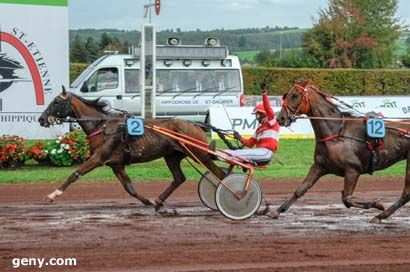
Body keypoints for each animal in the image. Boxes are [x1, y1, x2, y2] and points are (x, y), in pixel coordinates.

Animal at [38, 88, 224, 211]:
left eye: (56, 102)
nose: (41, 119)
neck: (102, 126)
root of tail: (195, 124)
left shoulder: (98, 158)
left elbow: (74, 174)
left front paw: (52, 195)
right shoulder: (116, 164)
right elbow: (130, 188)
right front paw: (148, 201)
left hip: (199, 154)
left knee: (220, 174)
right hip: (172, 156)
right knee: (179, 178)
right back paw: (159, 201)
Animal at [274, 82, 408, 224]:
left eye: (295, 95)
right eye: (286, 95)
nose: (280, 118)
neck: (337, 133)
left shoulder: (352, 170)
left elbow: (347, 199)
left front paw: (378, 204)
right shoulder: (319, 166)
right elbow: (301, 189)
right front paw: (277, 211)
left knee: (406, 193)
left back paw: (380, 216)